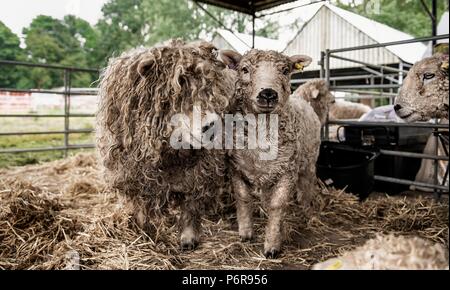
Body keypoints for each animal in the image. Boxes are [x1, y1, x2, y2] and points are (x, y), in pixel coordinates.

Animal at [96, 39, 239, 250]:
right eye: (175, 93)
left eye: (211, 88)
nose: (211, 125)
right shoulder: (135, 174)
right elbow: (141, 209)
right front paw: (145, 234)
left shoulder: (201, 171)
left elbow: (191, 206)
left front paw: (188, 239)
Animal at [224, 49, 322, 258]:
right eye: (244, 69)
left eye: (285, 70)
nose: (268, 93)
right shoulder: (236, 167)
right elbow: (243, 197)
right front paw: (245, 233)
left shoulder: (288, 170)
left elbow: (277, 205)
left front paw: (272, 245)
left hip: (308, 161)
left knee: (307, 187)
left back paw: (308, 213)